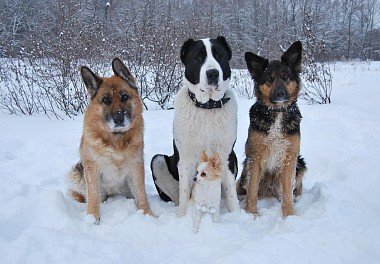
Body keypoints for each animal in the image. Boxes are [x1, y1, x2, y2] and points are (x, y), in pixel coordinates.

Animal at [67, 58, 152, 223]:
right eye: (106, 100)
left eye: (124, 97)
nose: (119, 119)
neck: (116, 140)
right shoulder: (92, 170)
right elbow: (93, 198)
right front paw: (92, 219)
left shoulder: (136, 167)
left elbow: (141, 195)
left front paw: (148, 216)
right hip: (77, 171)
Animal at [150, 35, 239, 217]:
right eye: (198, 58)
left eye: (219, 55)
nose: (213, 73)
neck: (208, 107)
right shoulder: (186, 159)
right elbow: (185, 192)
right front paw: (182, 218)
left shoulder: (227, 156)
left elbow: (232, 193)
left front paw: (238, 216)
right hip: (157, 160)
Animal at [239, 41, 308, 217]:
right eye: (268, 80)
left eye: (285, 77)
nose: (280, 94)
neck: (277, 113)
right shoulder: (254, 157)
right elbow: (252, 190)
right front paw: (251, 214)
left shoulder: (290, 157)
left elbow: (287, 192)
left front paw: (288, 215)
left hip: (300, 163)